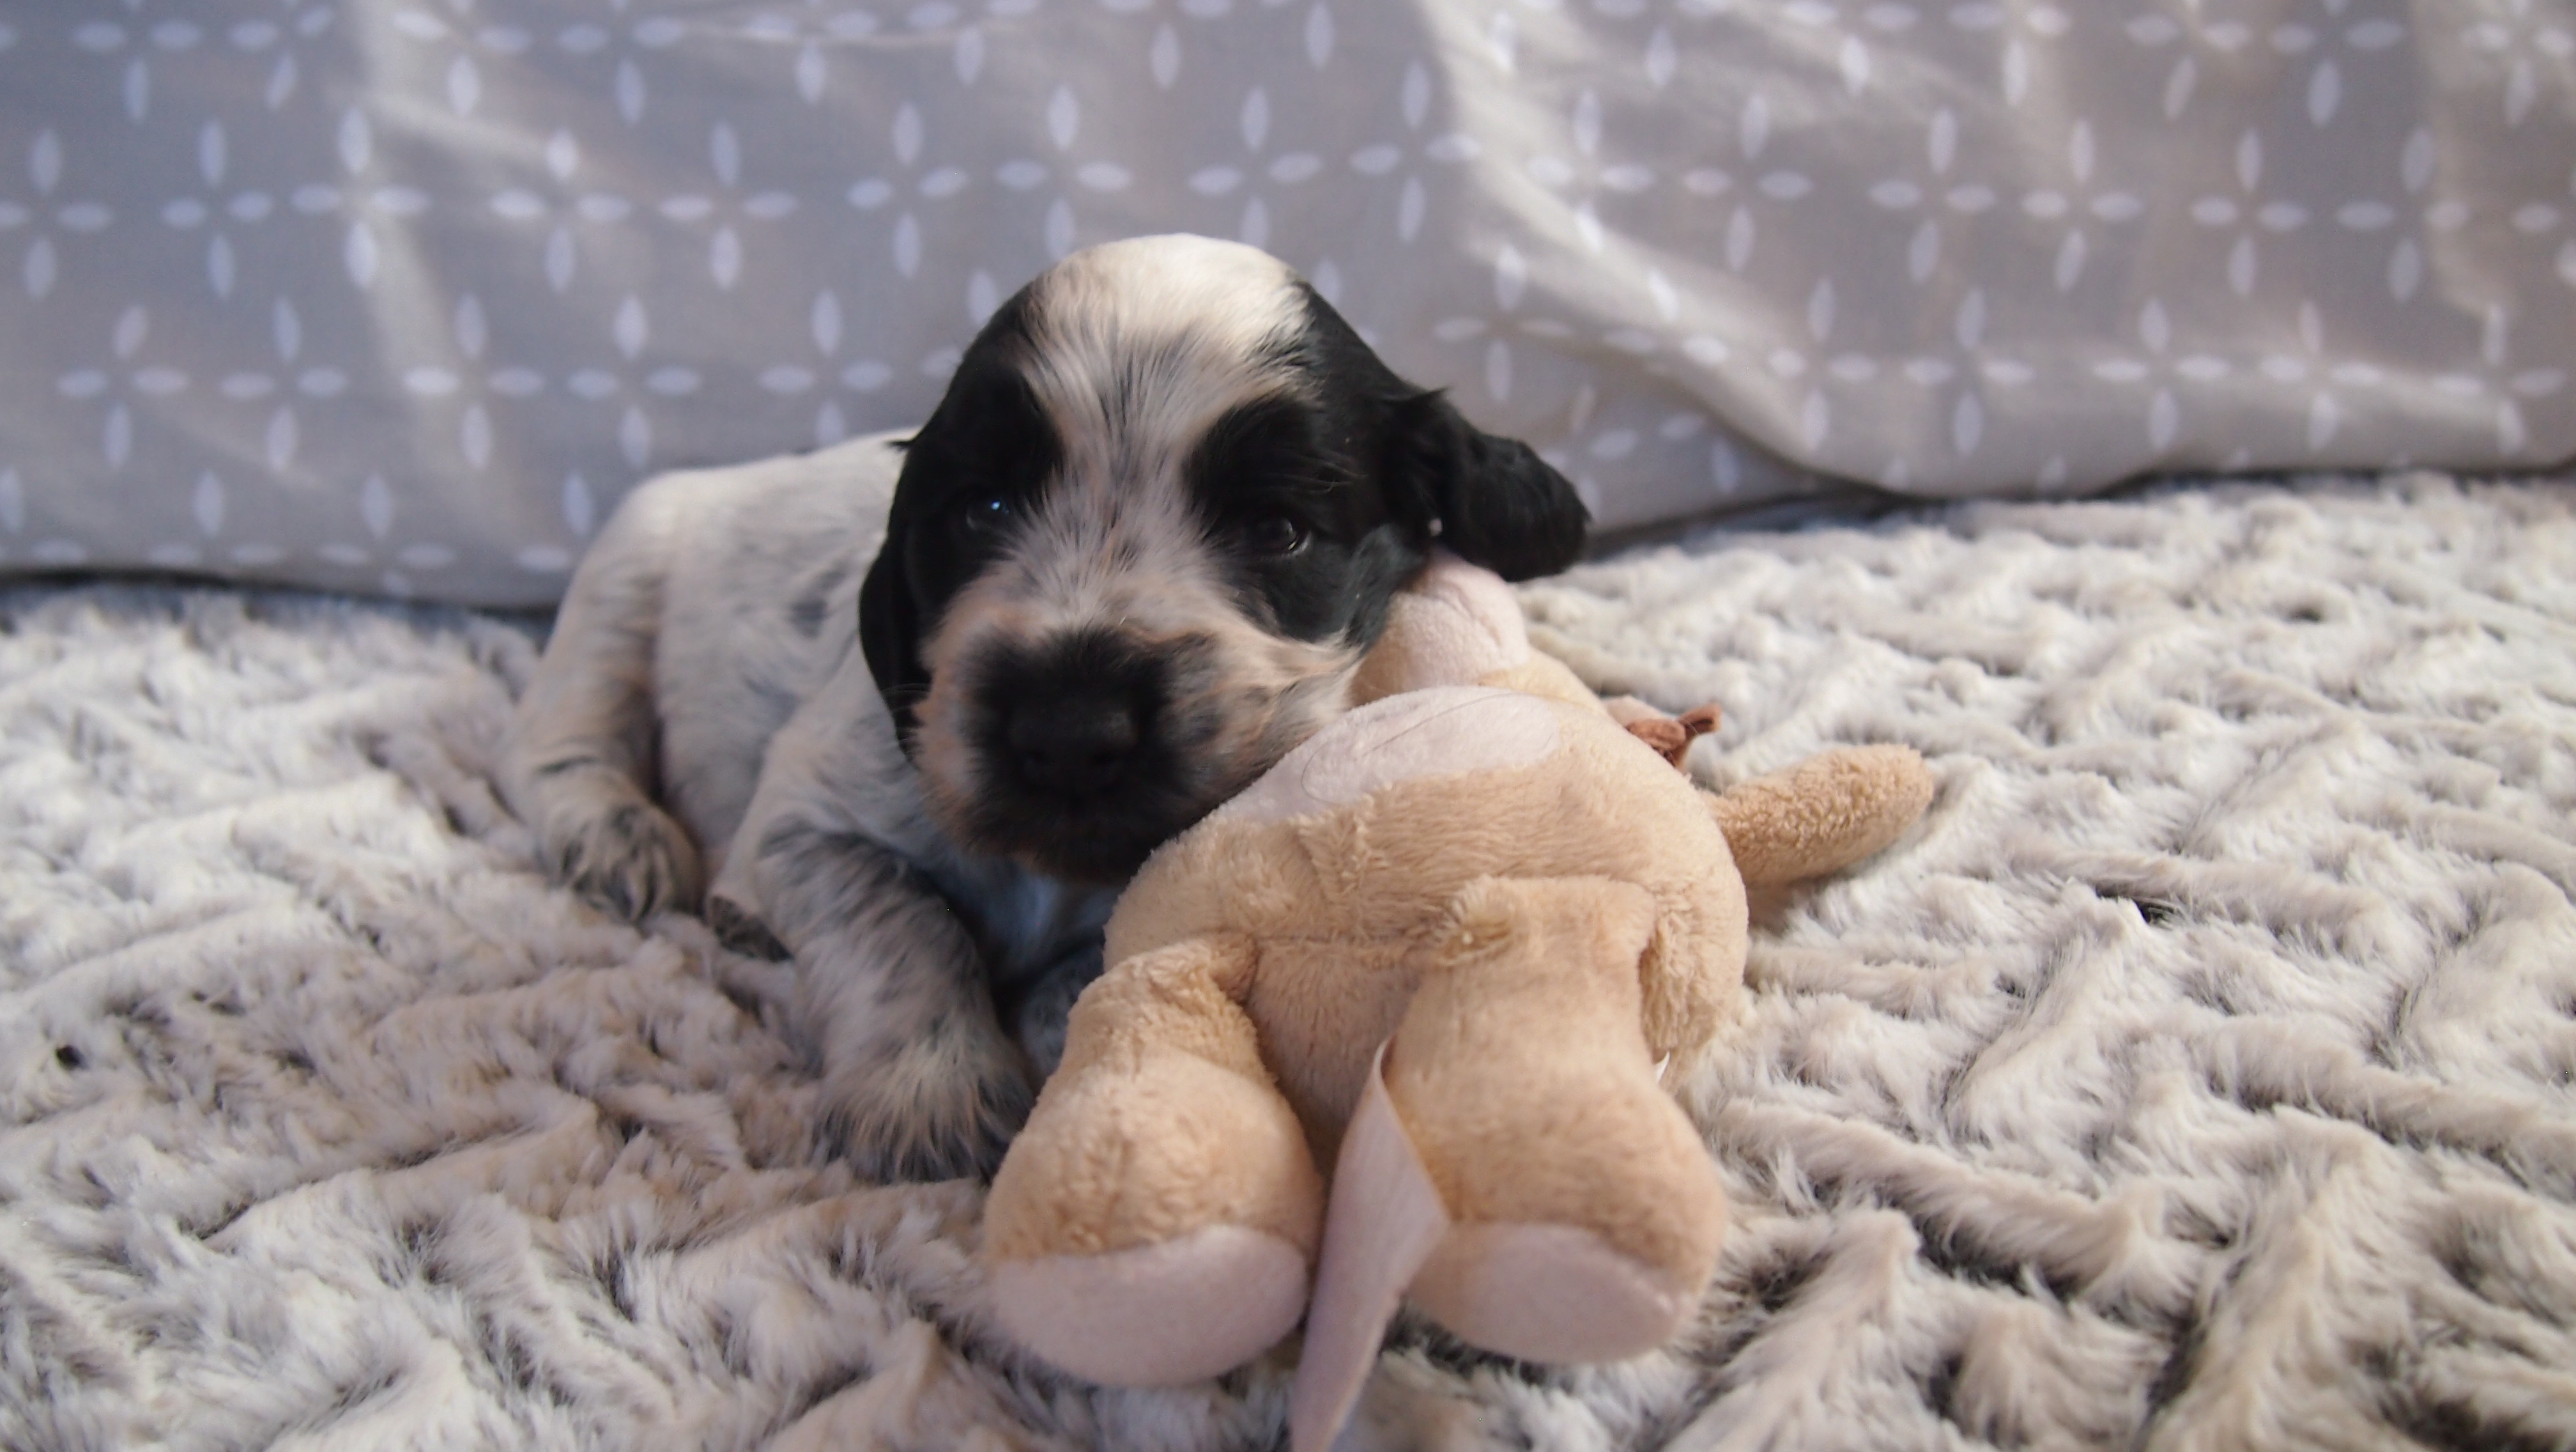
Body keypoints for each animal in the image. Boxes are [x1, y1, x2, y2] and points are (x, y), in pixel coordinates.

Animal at [499, 235, 1589, 1182]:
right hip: (627, 564)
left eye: (1279, 530)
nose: (1069, 733)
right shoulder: (806, 820)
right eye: (980, 509)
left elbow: (1093, 965)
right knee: (567, 737)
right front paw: (928, 1093)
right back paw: (620, 835)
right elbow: (898, 916)